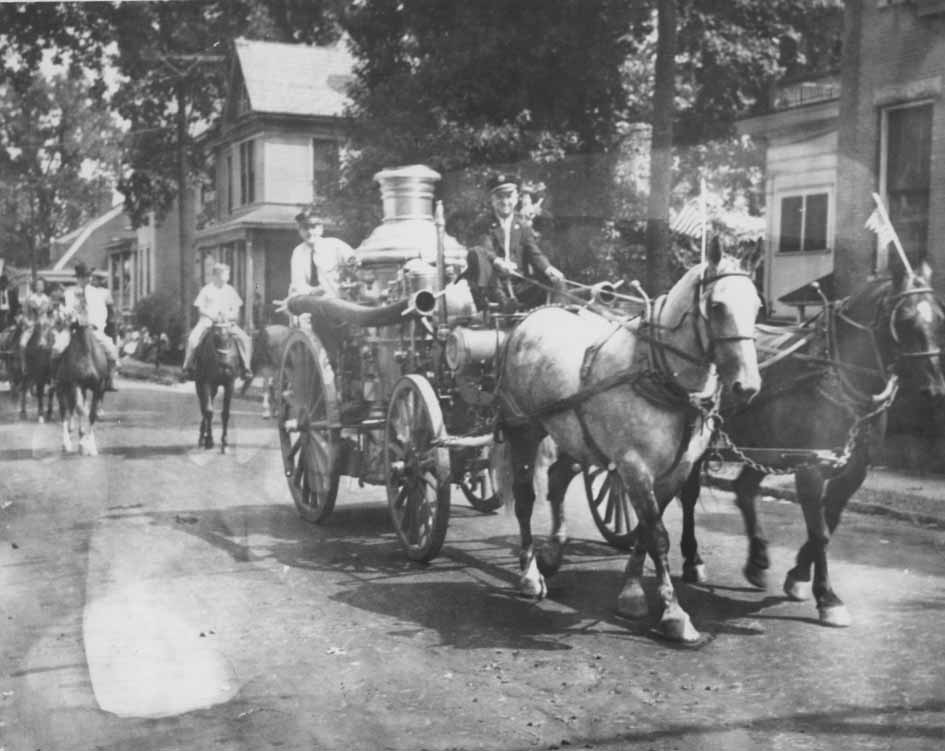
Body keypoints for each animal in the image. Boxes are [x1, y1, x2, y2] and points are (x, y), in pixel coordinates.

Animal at [56, 324, 108, 456]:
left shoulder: (98, 387)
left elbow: (92, 413)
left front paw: (91, 447)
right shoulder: (76, 383)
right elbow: (80, 409)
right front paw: (83, 444)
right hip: (61, 387)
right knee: (64, 410)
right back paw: (66, 444)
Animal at [194, 322, 240, 452]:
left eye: (230, 335)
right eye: (214, 336)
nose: (224, 365)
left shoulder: (230, 384)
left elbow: (225, 413)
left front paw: (225, 442)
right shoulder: (206, 382)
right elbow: (209, 411)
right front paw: (209, 440)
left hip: (214, 388)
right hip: (200, 385)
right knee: (204, 409)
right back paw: (202, 437)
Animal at [680, 258, 944, 628]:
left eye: (940, 318)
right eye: (905, 320)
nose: (934, 390)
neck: (838, 374)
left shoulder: (853, 470)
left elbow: (828, 523)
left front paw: (798, 576)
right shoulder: (810, 467)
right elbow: (819, 531)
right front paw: (828, 597)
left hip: (769, 447)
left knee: (744, 490)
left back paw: (757, 560)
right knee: (689, 496)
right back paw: (693, 560)